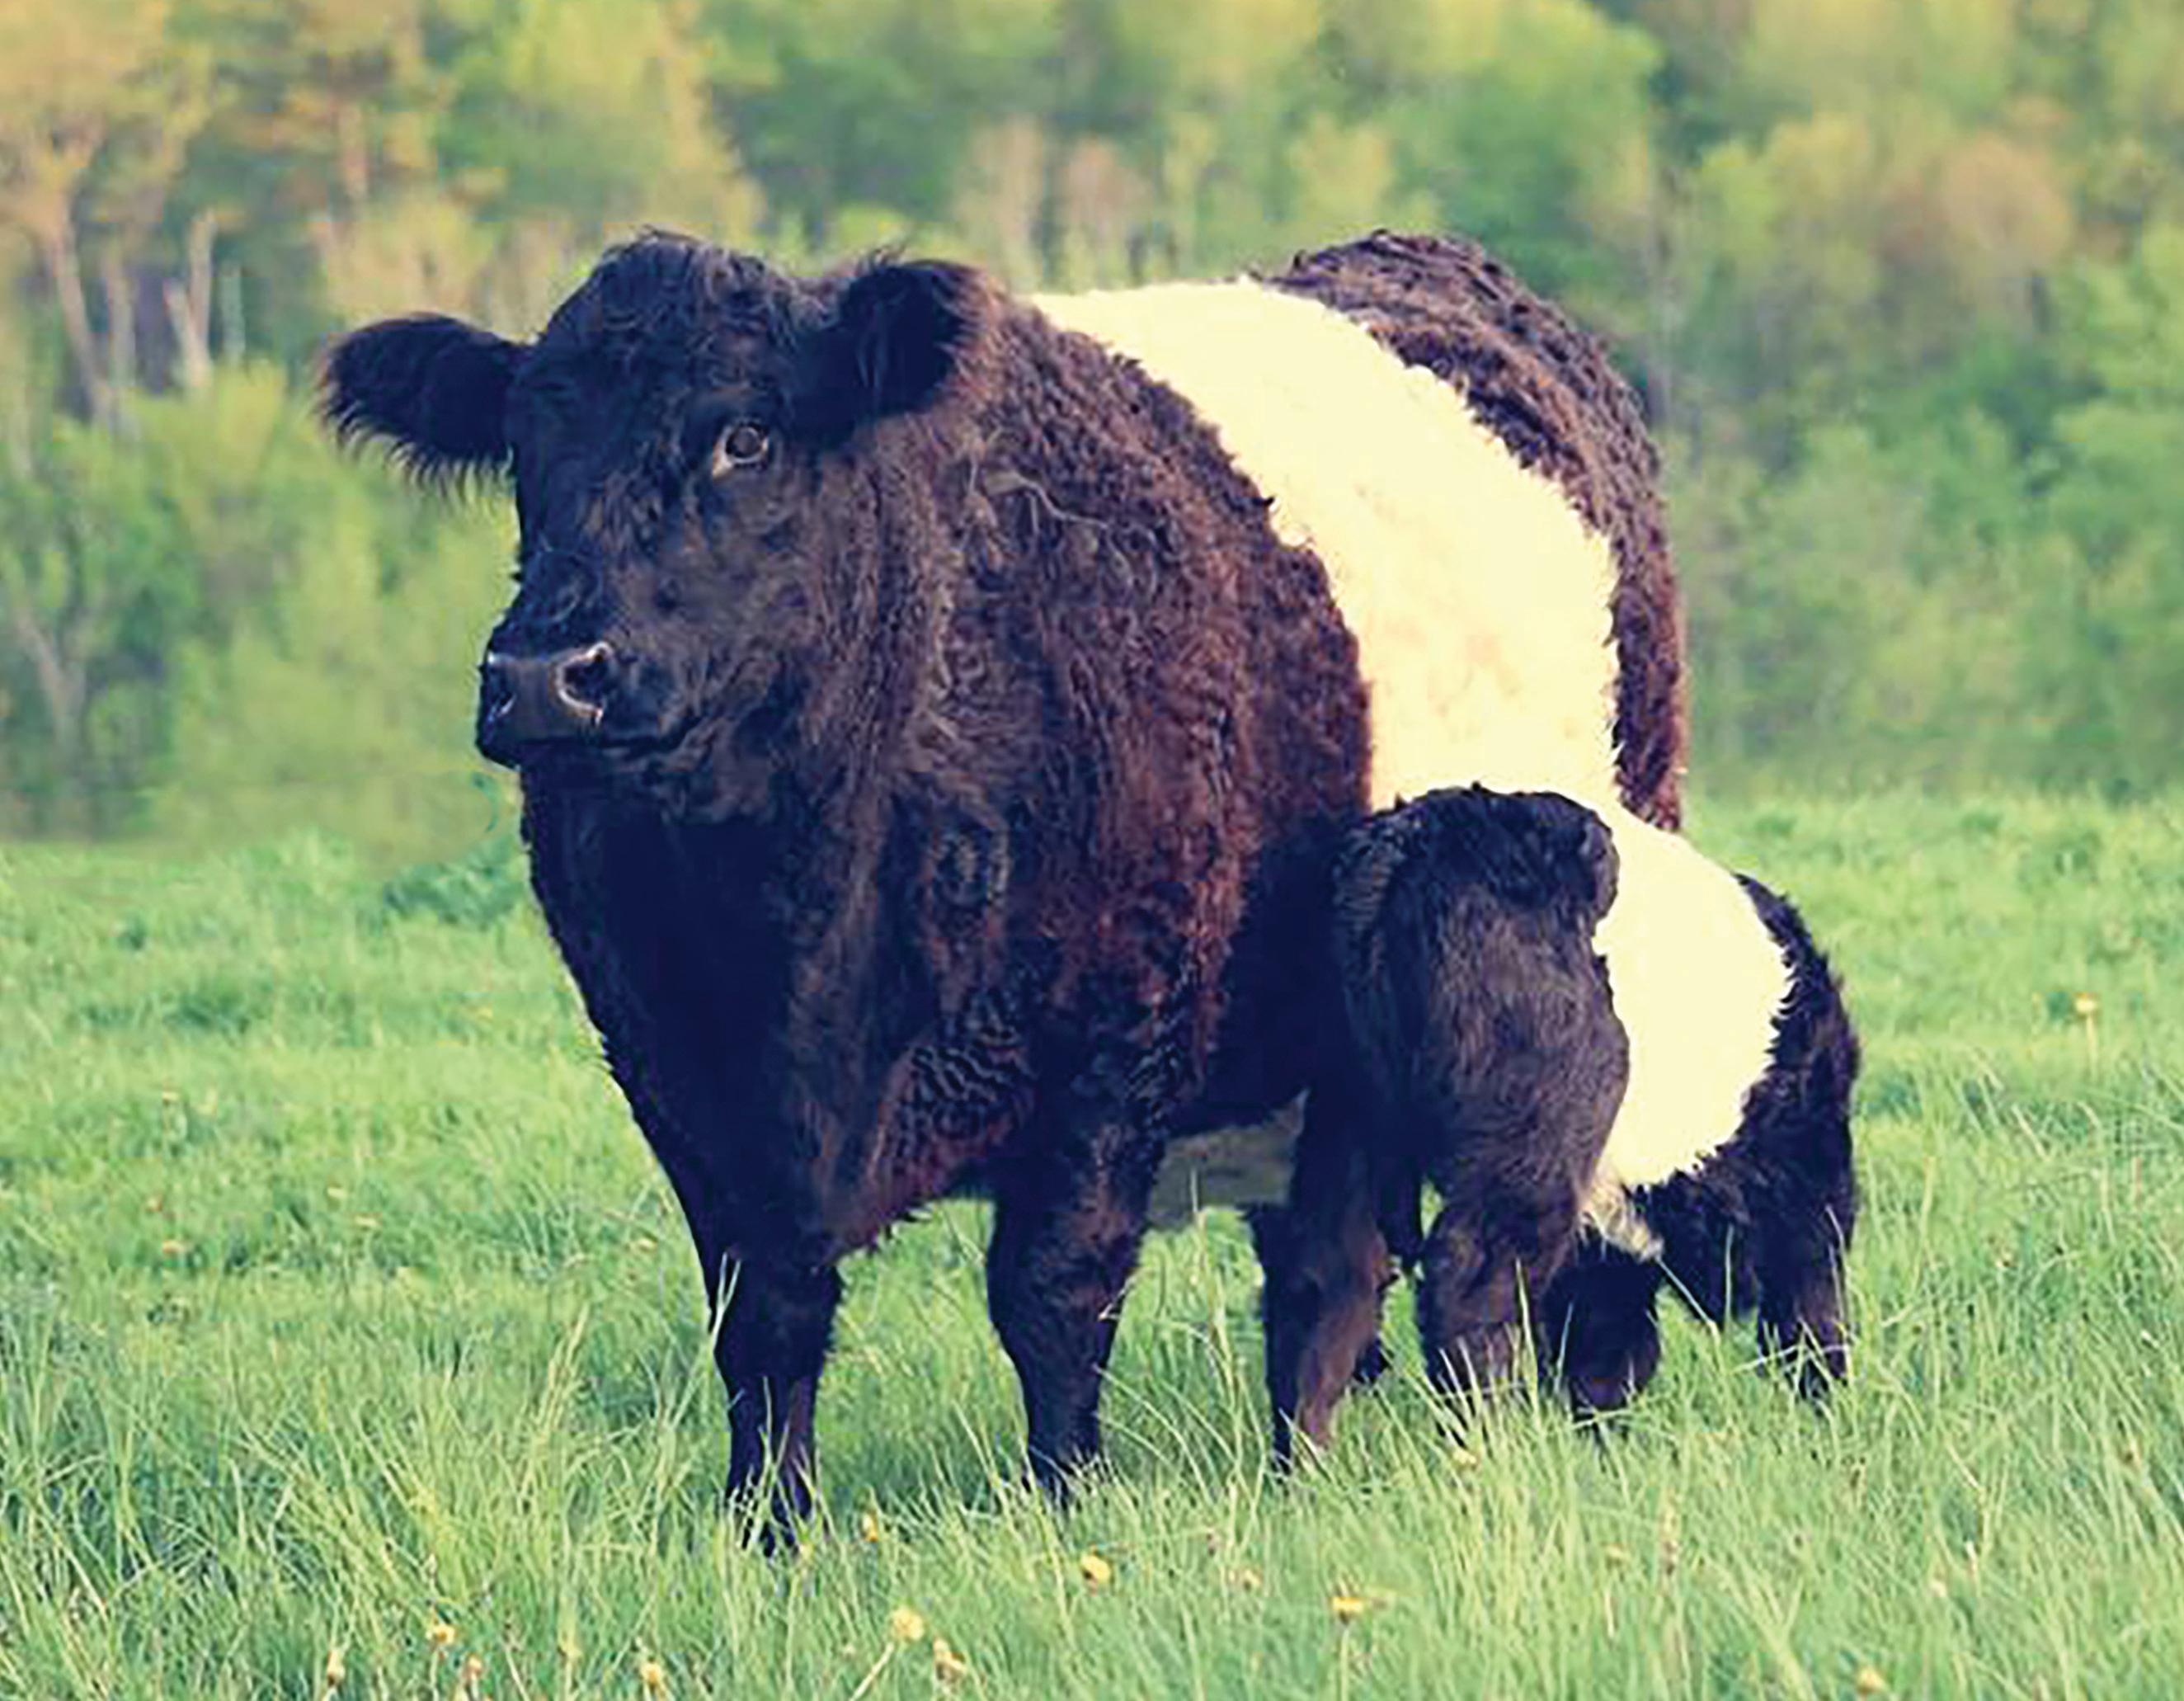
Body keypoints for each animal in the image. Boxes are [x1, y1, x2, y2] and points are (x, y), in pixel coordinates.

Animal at [320, 228, 1686, 1525]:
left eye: (745, 437)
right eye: (522, 451)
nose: (545, 675)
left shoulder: (1115, 1036)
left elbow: (1049, 1295)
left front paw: (1064, 1504)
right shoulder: (677, 1071)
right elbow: (762, 1317)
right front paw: (767, 1530)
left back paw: (1587, 1411)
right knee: (1325, 1270)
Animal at [1263, 784, 1858, 1462]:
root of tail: (1410, 837)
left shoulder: (1605, 1250)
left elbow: (1606, 1359)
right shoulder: (1810, 1199)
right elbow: (1811, 1323)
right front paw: (1830, 1434)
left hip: (1341, 1121)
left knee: (1324, 1284)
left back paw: (1305, 1467)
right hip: (1529, 1152)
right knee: (1471, 1284)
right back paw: (1492, 1452)